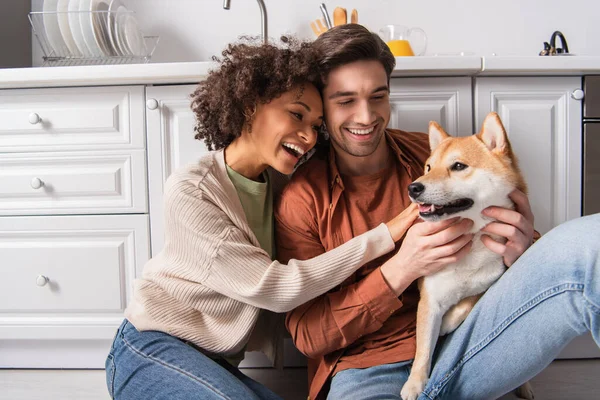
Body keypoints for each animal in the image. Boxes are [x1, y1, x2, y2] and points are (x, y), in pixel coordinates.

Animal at [400, 112, 532, 400]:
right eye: (428, 167)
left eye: (458, 166)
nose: (412, 188)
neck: (471, 238)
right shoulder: (430, 297)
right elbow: (423, 349)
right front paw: (415, 384)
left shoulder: (493, 278)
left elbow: (469, 301)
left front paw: (448, 322)